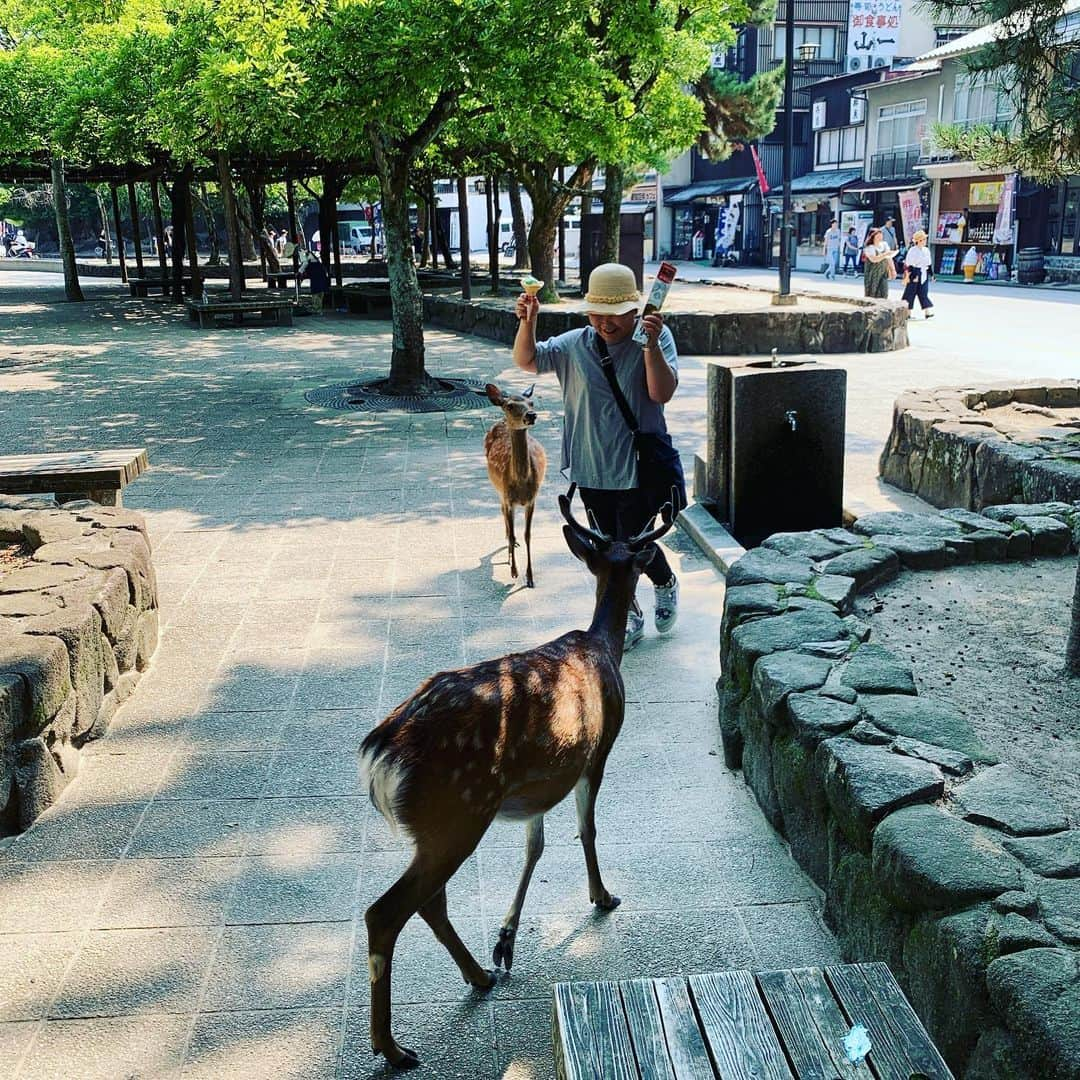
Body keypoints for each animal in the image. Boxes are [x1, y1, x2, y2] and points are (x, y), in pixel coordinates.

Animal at [358, 488, 669, 1071]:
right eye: (640, 563)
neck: (603, 647)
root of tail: (380, 755)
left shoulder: (539, 785)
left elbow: (535, 847)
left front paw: (505, 940)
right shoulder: (598, 750)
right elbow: (587, 830)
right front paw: (602, 895)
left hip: (441, 824)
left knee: (429, 901)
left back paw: (479, 975)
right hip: (458, 809)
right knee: (386, 911)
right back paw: (393, 1048)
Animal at [483, 382, 544, 587]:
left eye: (531, 402)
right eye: (509, 405)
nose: (531, 415)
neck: (521, 484)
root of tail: (501, 422)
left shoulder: (532, 500)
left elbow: (528, 534)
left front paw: (530, 577)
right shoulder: (508, 497)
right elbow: (512, 532)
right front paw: (514, 571)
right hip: (498, 489)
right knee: (502, 511)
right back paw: (510, 551)